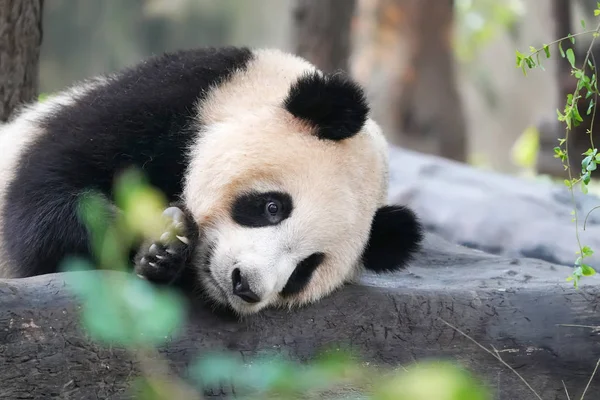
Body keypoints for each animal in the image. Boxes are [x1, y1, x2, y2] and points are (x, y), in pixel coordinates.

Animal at [0, 47, 422, 316]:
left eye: (306, 268)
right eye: (273, 207)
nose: (246, 285)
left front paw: (163, 254)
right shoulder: (168, 98)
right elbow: (44, 200)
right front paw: (158, 238)